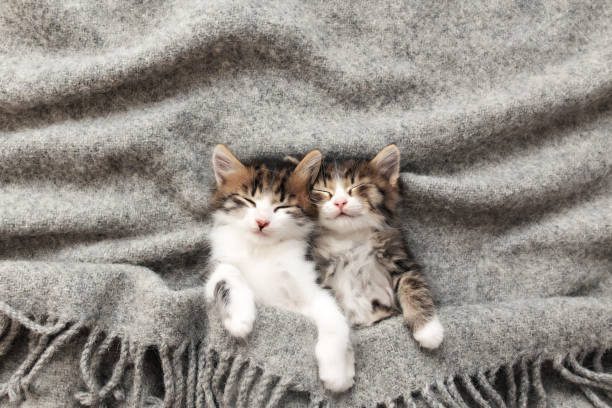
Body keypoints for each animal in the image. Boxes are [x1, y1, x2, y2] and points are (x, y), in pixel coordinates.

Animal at [204, 146, 354, 392]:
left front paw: (338, 372)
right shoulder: (217, 263)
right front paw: (239, 317)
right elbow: (227, 273)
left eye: (282, 206)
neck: (261, 250)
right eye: (249, 200)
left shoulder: (309, 282)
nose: (262, 222)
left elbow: (334, 317)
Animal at [314, 145, 442, 350]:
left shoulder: (398, 254)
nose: (340, 202)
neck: (350, 236)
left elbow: (413, 285)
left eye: (357, 187)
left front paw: (428, 330)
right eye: (322, 191)